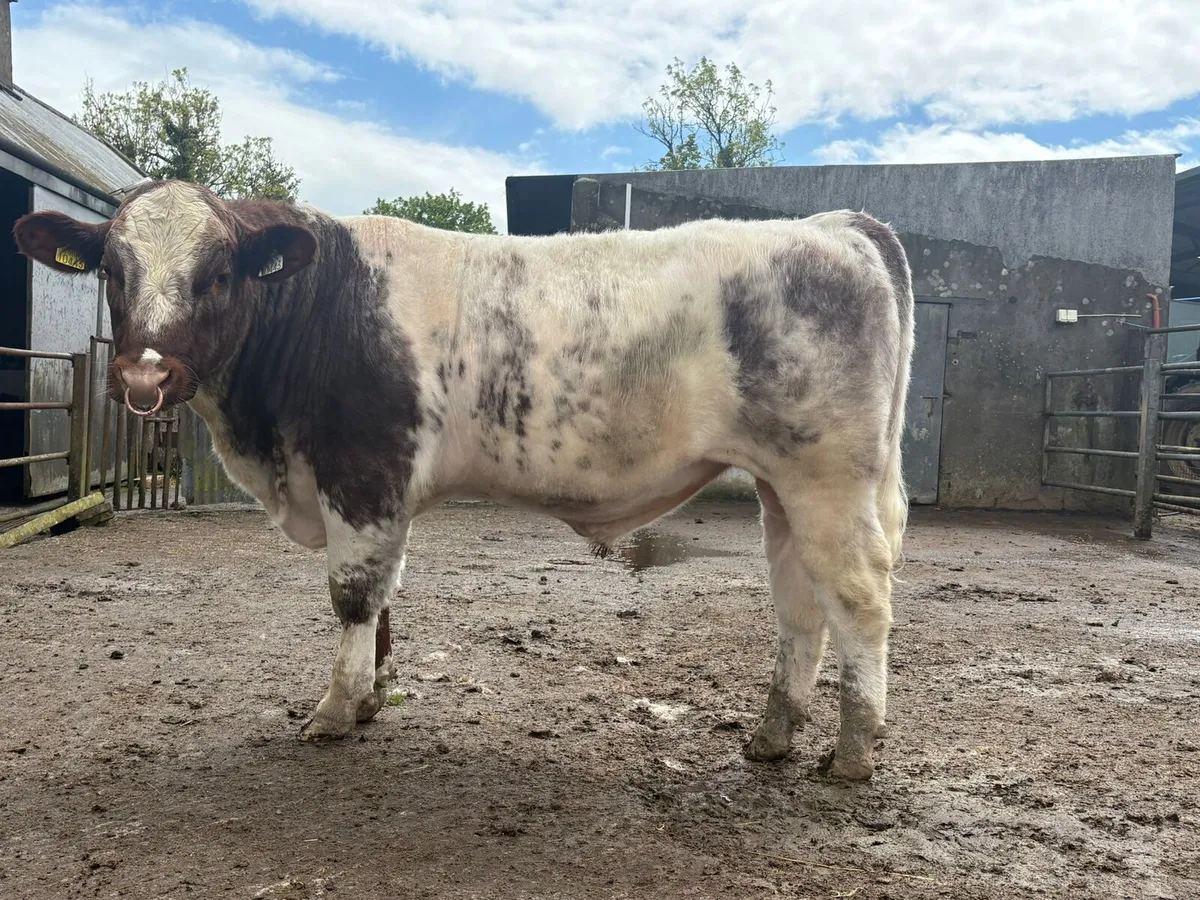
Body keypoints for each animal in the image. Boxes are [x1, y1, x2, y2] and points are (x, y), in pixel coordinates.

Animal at [13, 180, 914, 781]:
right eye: (111, 272)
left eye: (220, 274)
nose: (144, 375)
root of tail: (834, 225)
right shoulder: (378, 492)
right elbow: (383, 596)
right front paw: (371, 698)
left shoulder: (361, 473)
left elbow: (351, 595)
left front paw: (334, 711)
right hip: (783, 488)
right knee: (799, 604)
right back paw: (773, 736)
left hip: (829, 478)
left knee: (859, 598)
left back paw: (854, 752)